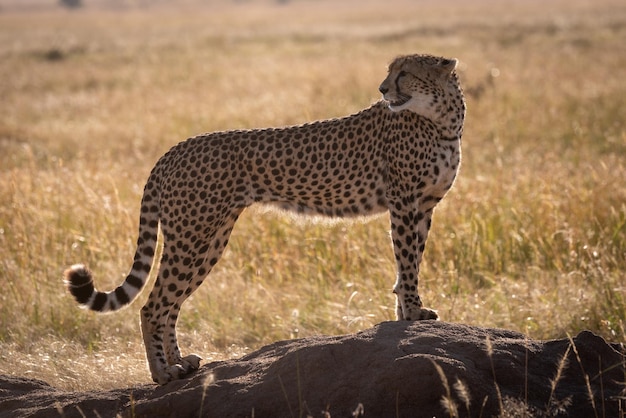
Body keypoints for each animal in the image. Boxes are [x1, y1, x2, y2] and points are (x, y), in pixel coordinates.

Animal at [64, 54, 464, 384]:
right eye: (391, 72)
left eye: (404, 73)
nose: (382, 89)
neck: (443, 121)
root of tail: (174, 149)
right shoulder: (404, 203)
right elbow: (407, 261)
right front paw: (412, 312)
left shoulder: (424, 206)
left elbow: (409, 262)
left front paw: (404, 314)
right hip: (192, 236)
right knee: (154, 305)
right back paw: (163, 373)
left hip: (210, 240)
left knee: (172, 304)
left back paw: (181, 363)